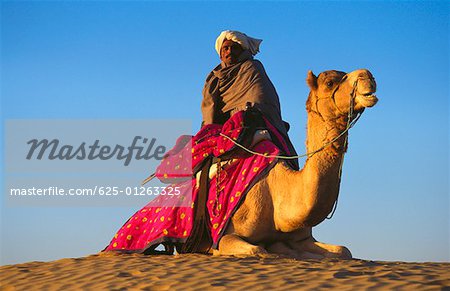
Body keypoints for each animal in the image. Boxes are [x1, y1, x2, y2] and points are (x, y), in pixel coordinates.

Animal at [213, 69, 378, 260]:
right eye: (330, 83)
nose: (367, 76)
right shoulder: (224, 237)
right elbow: (259, 250)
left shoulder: (303, 238)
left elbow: (344, 250)